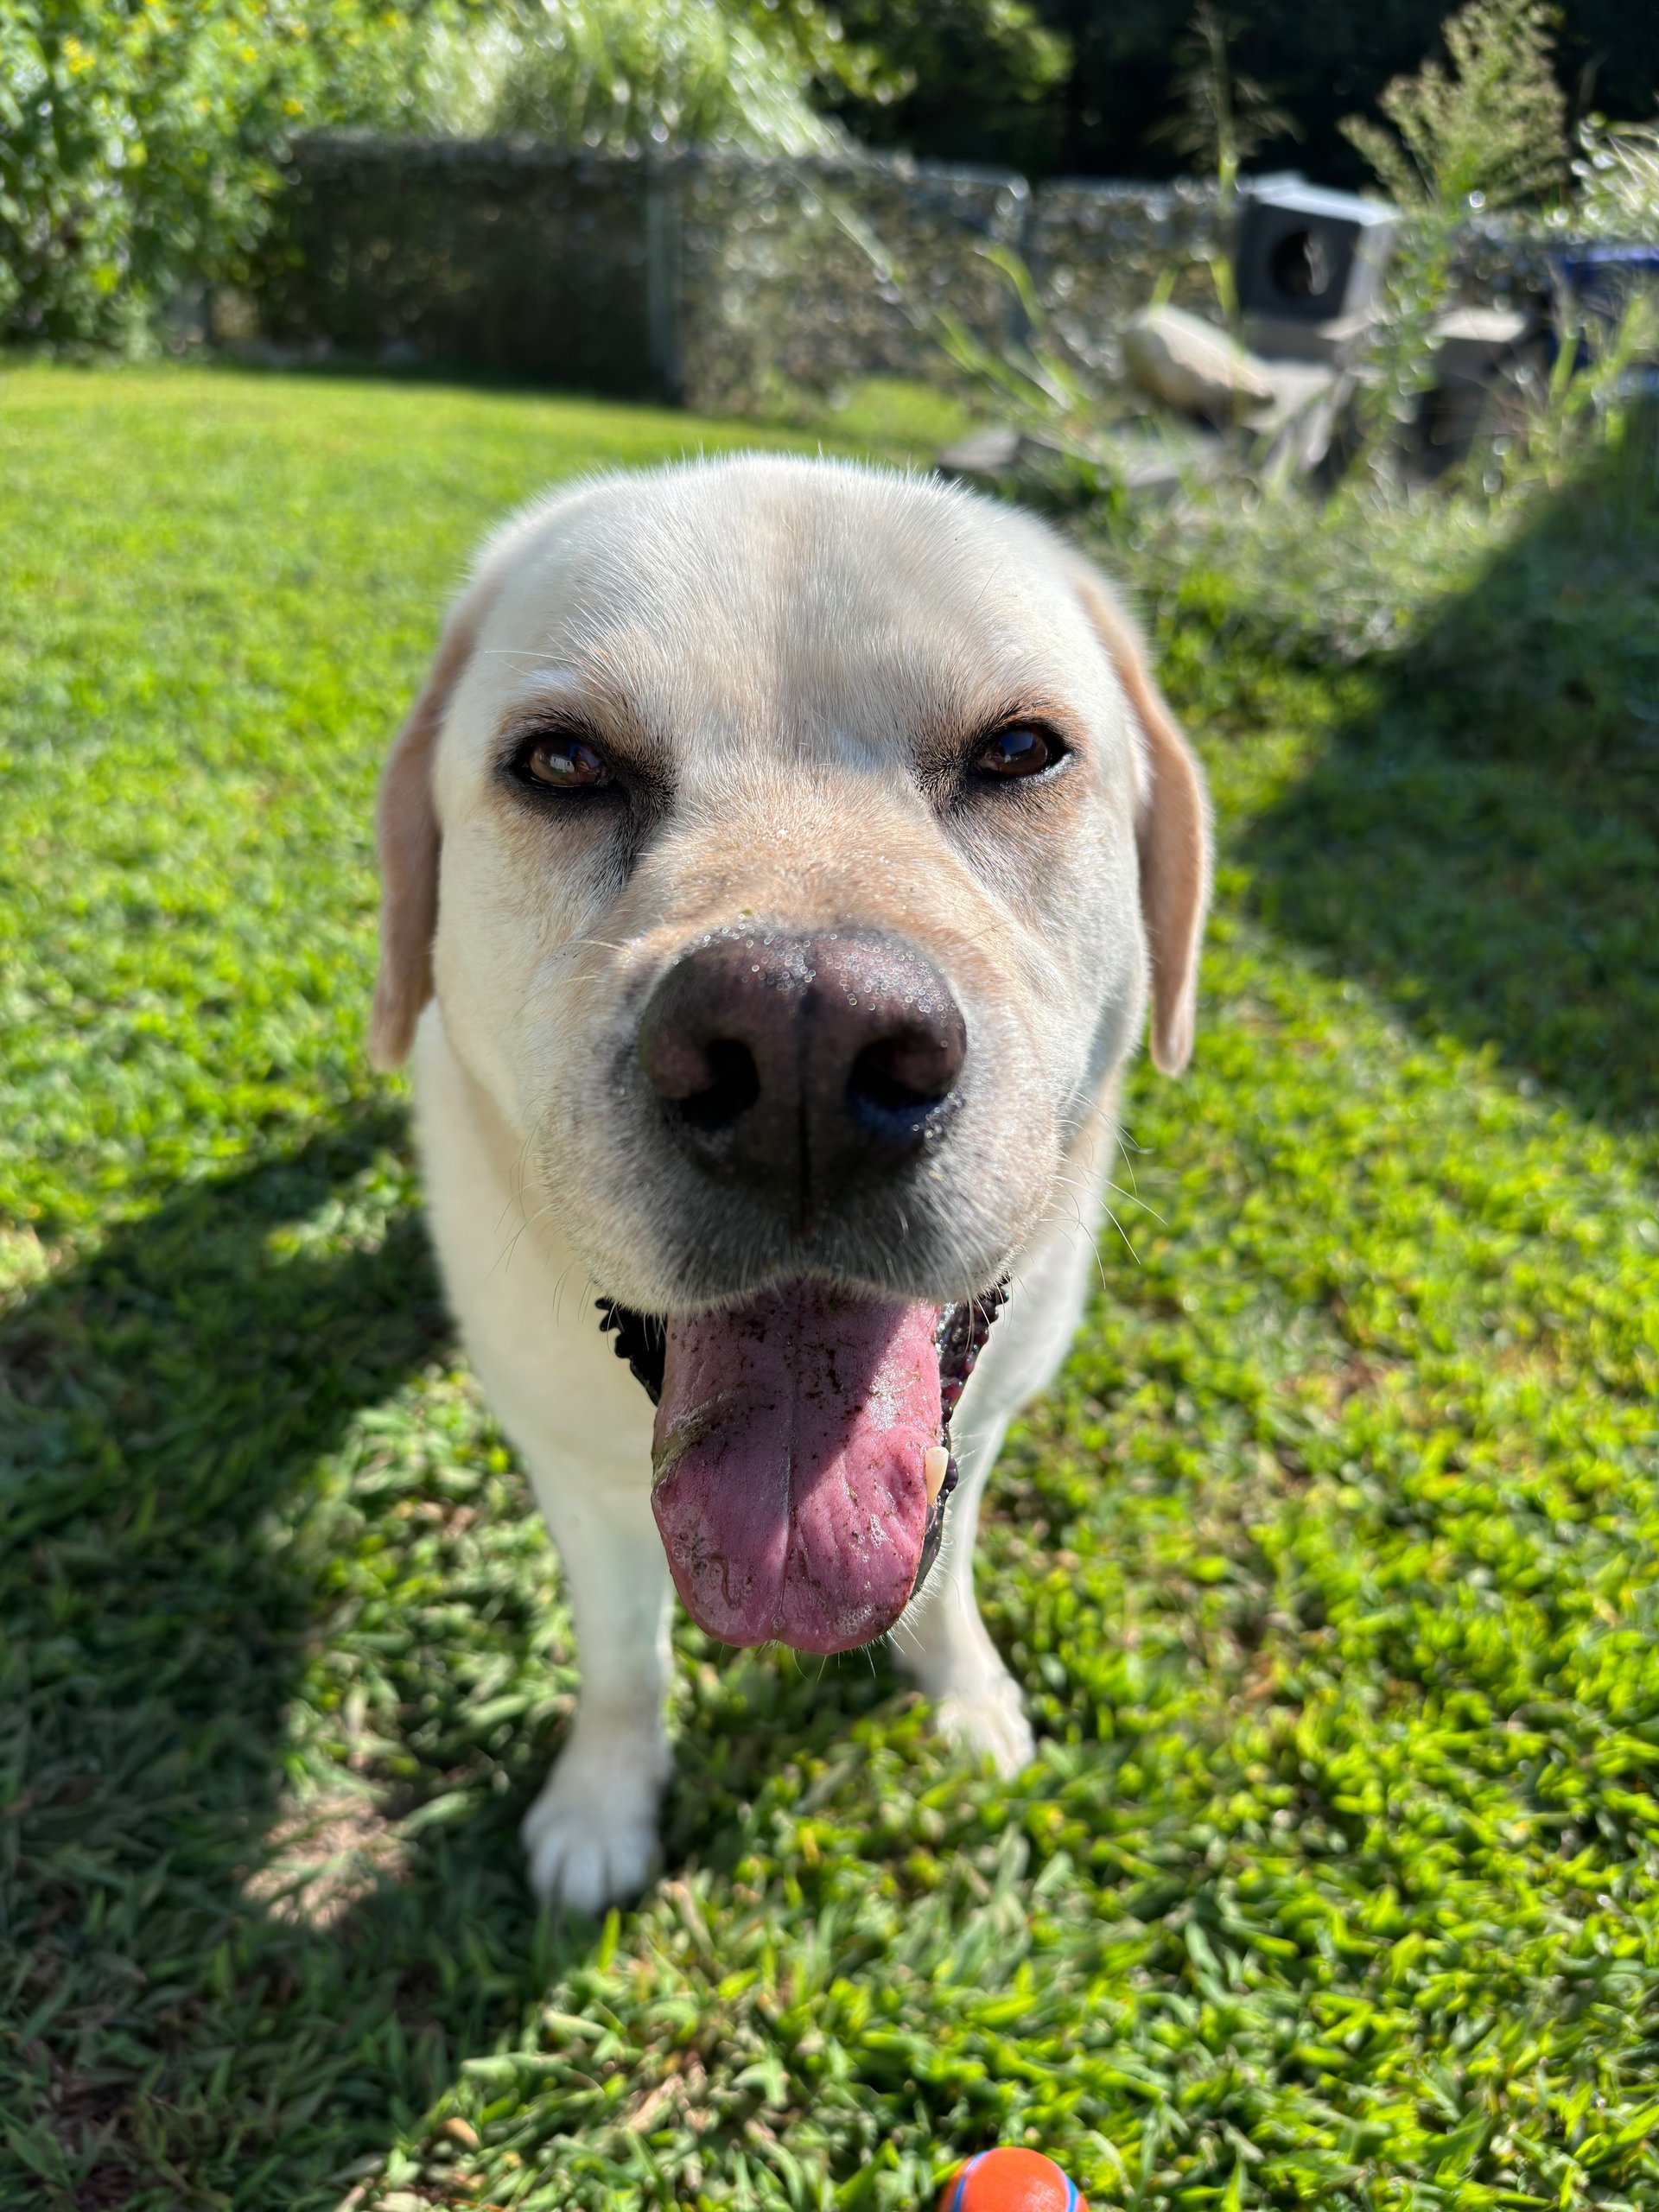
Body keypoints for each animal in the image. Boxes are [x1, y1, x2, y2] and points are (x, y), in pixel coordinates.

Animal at [369, 457, 1211, 1910]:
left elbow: (944, 1569)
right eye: (563, 763)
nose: (803, 1049)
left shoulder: (980, 1425)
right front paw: (603, 1800)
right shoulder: (568, 1464)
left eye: (1020, 751)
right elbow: (623, 1655)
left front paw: (966, 1696)